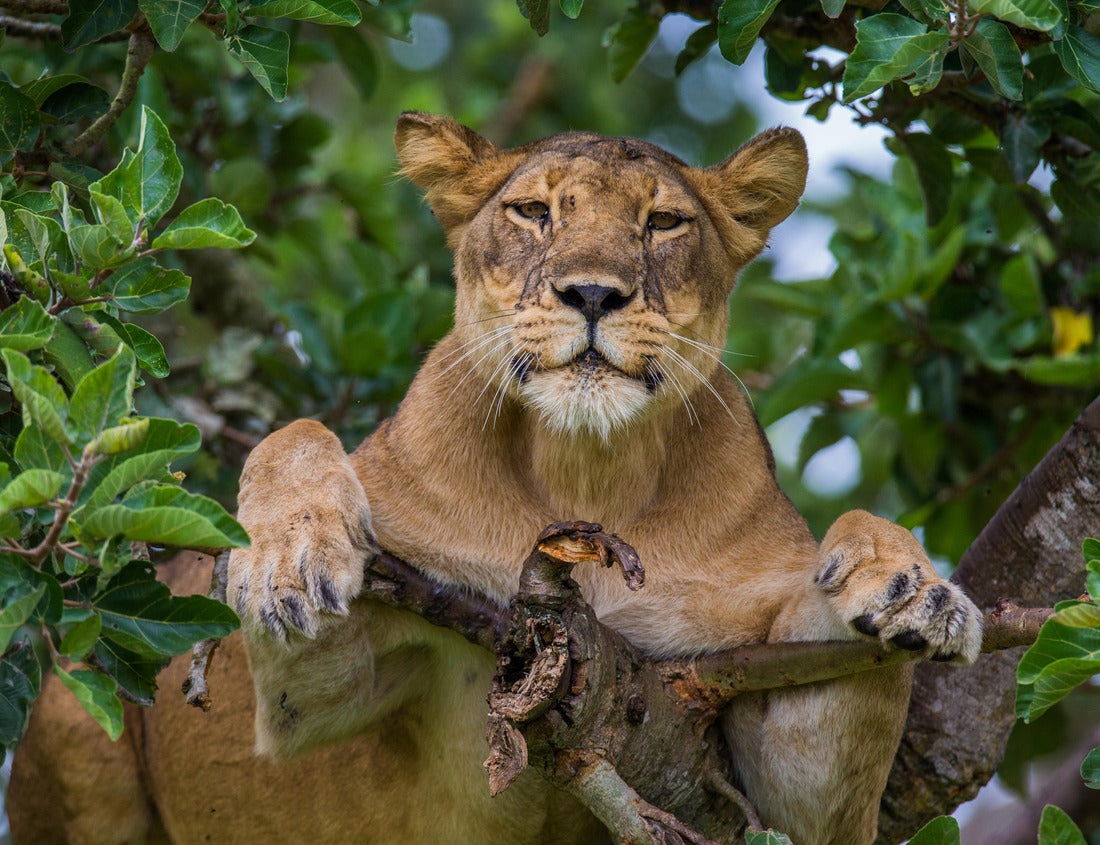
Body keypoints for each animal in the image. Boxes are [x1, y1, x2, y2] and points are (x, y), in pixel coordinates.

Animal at [8, 113, 982, 845]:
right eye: (533, 212)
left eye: (664, 224)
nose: (592, 294)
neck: (587, 470)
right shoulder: (312, 697)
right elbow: (297, 436)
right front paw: (288, 557)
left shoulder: (761, 767)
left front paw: (914, 590)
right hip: (69, 725)